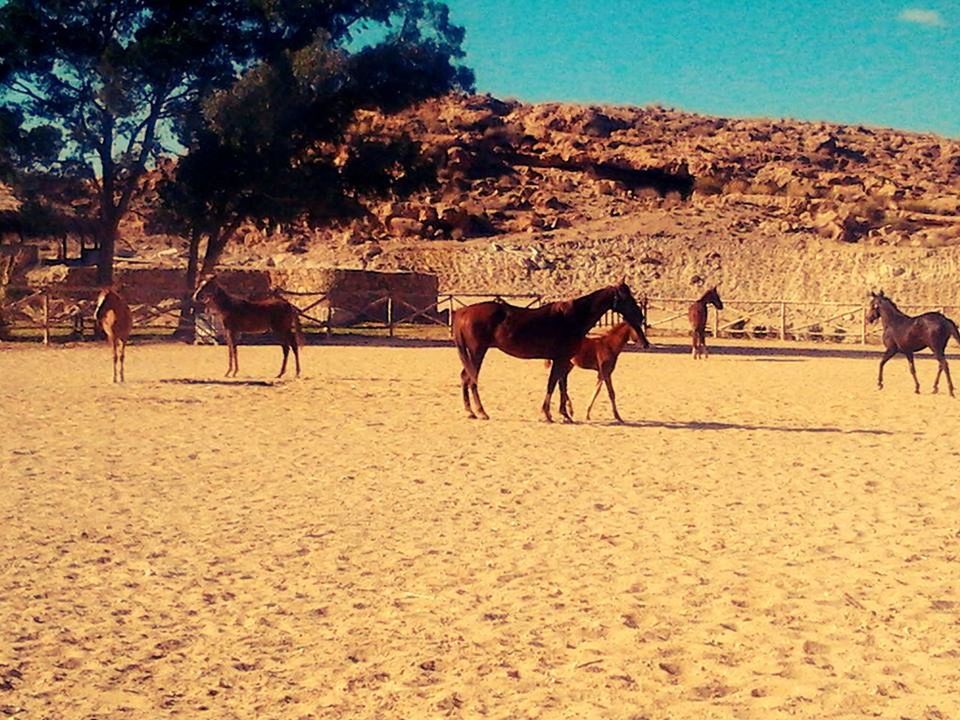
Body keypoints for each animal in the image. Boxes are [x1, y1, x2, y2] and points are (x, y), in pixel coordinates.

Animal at [454, 278, 648, 420]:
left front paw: (565, 415)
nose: (641, 316)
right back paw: (481, 411)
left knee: (465, 377)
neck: (573, 317)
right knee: (471, 379)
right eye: (626, 298)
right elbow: (553, 384)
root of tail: (463, 313)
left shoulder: (564, 360)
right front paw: (547, 413)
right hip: (477, 352)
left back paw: (470, 412)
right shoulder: (561, 359)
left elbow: (561, 385)